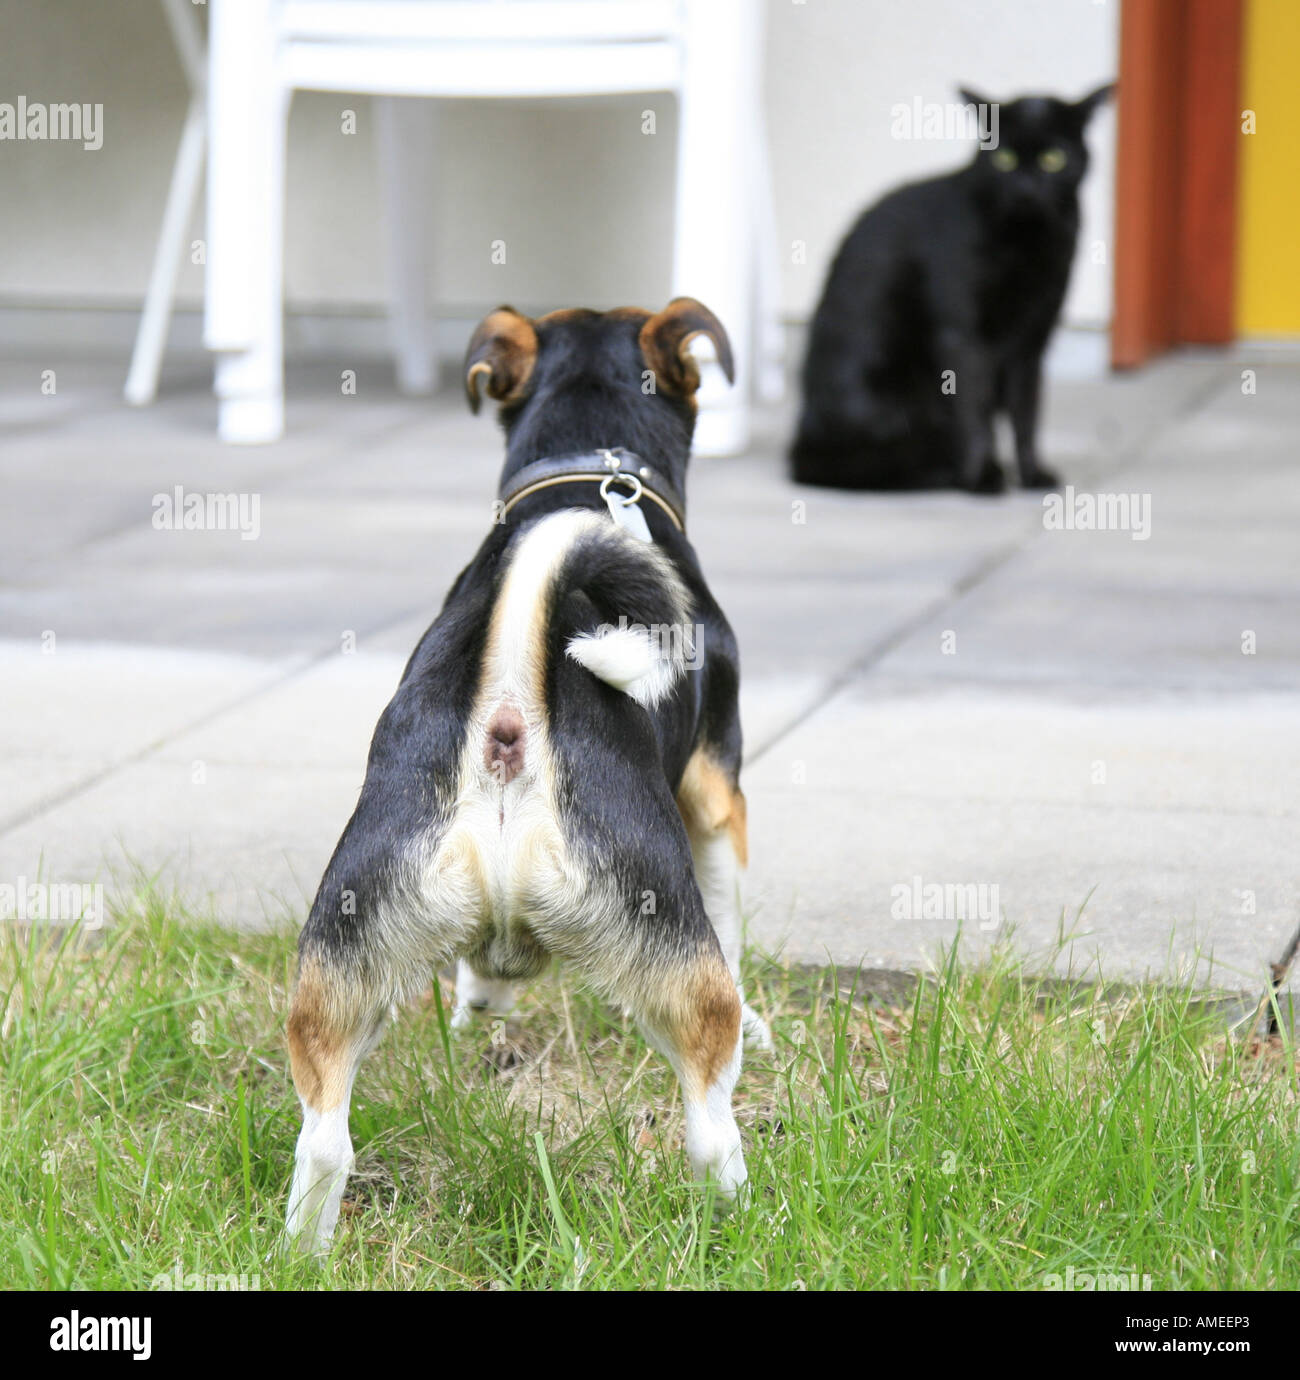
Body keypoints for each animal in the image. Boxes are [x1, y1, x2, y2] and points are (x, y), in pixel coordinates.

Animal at [287, 296, 772, 1247]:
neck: (588, 472)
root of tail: (511, 708)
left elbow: (483, 981)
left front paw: (483, 996)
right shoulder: (717, 791)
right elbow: (733, 915)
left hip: (342, 963)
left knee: (325, 1140)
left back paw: (300, 1250)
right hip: (677, 954)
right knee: (708, 1105)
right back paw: (737, 1212)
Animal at [789, 86, 1115, 496]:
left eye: (1053, 159)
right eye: (1005, 159)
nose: (1026, 188)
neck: (1027, 241)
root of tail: (802, 439)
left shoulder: (1032, 341)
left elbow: (1027, 414)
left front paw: (1031, 474)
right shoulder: (963, 337)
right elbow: (975, 413)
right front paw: (984, 477)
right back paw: (951, 474)